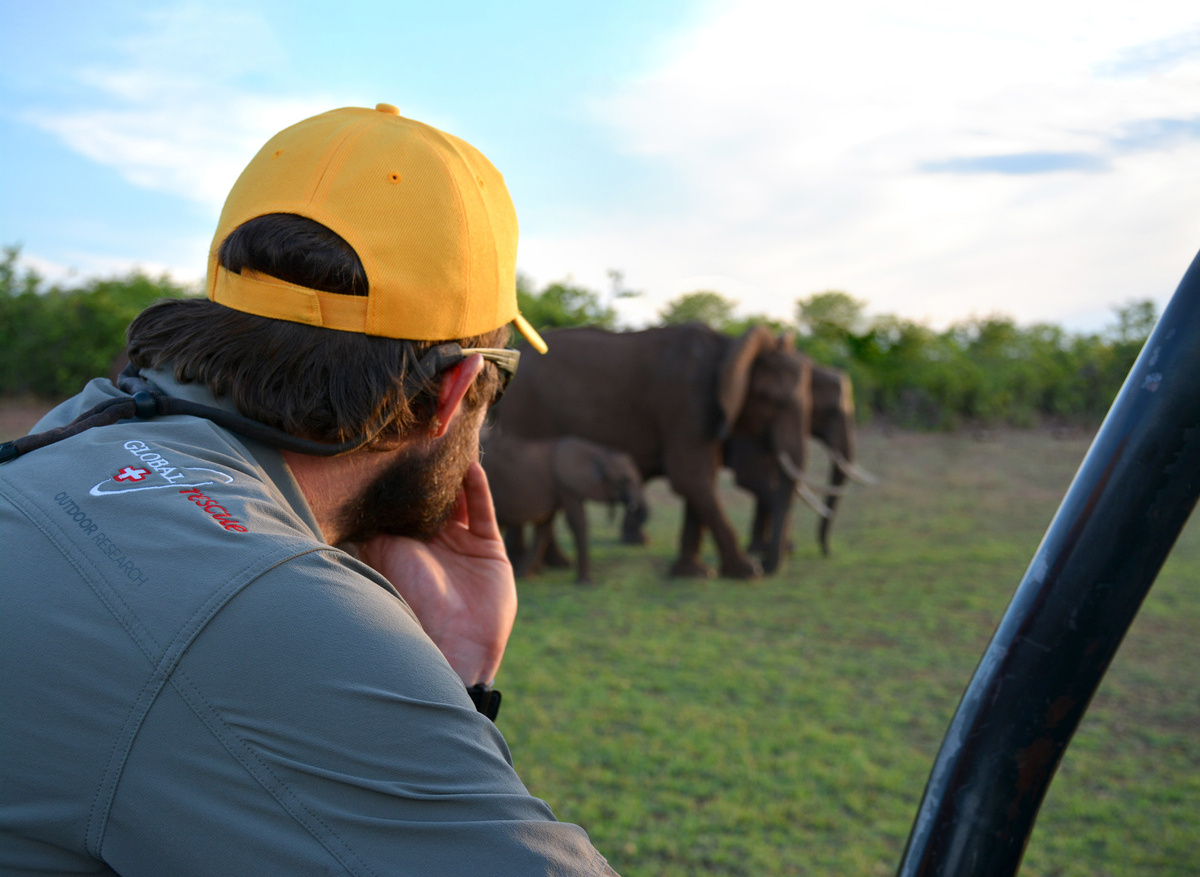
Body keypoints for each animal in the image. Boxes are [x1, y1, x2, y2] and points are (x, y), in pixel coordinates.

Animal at [480, 426, 643, 584]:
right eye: (624, 481)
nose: (633, 505)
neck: (600, 452)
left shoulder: (556, 489)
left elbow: (544, 529)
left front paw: (524, 576)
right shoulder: (566, 486)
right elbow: (577, 523)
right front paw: (586, 583)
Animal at [493, 324, 812, 579]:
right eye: (770, 399)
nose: (769, 565)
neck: (728, 348)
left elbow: (701, 481)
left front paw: (694, 574)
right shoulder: (685, 403)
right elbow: (690, 478)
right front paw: (747, 573)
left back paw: (555, 565)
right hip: (524, 413)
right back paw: (529, 567)